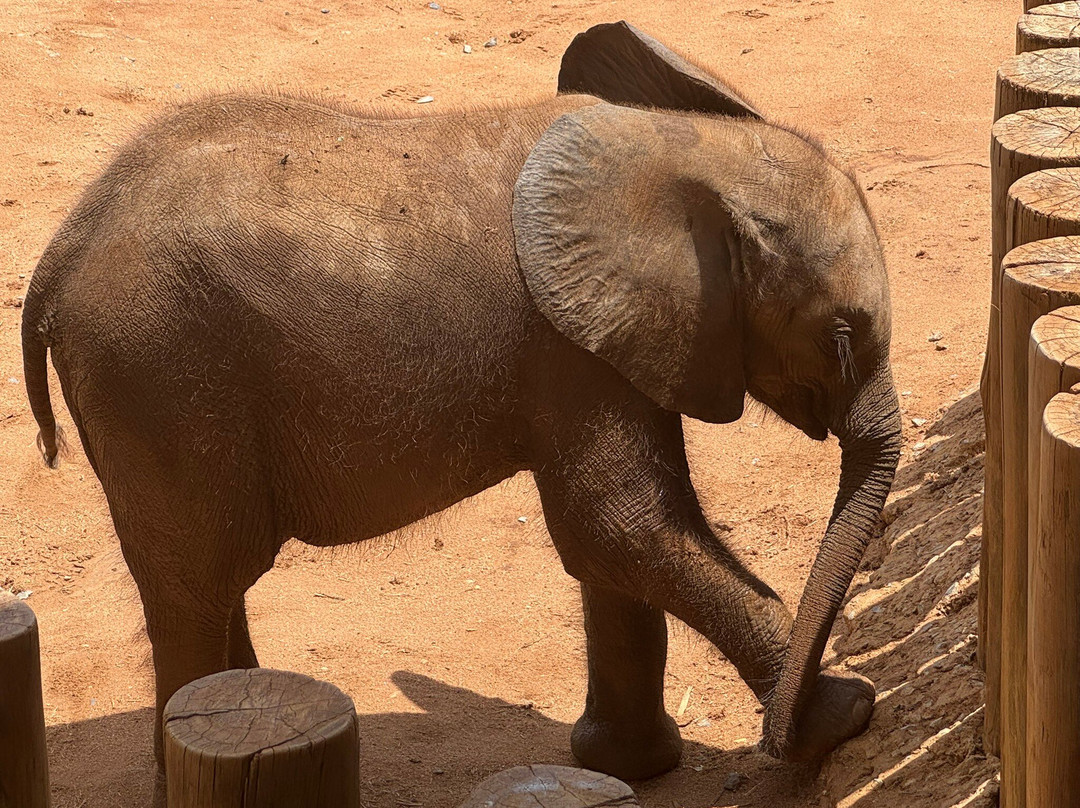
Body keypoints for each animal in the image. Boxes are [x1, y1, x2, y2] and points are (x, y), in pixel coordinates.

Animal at [20, 20, 901, 783]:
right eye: (841, 336)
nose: (775, 744)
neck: (677, 148)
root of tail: (60, 250)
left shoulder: (615, 343)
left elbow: (611, 543)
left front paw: (632, 768)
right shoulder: (565, 349)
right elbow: (619, 527)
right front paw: (845, 719)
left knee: (207, 581)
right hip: (157, 374)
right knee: (197, 584)